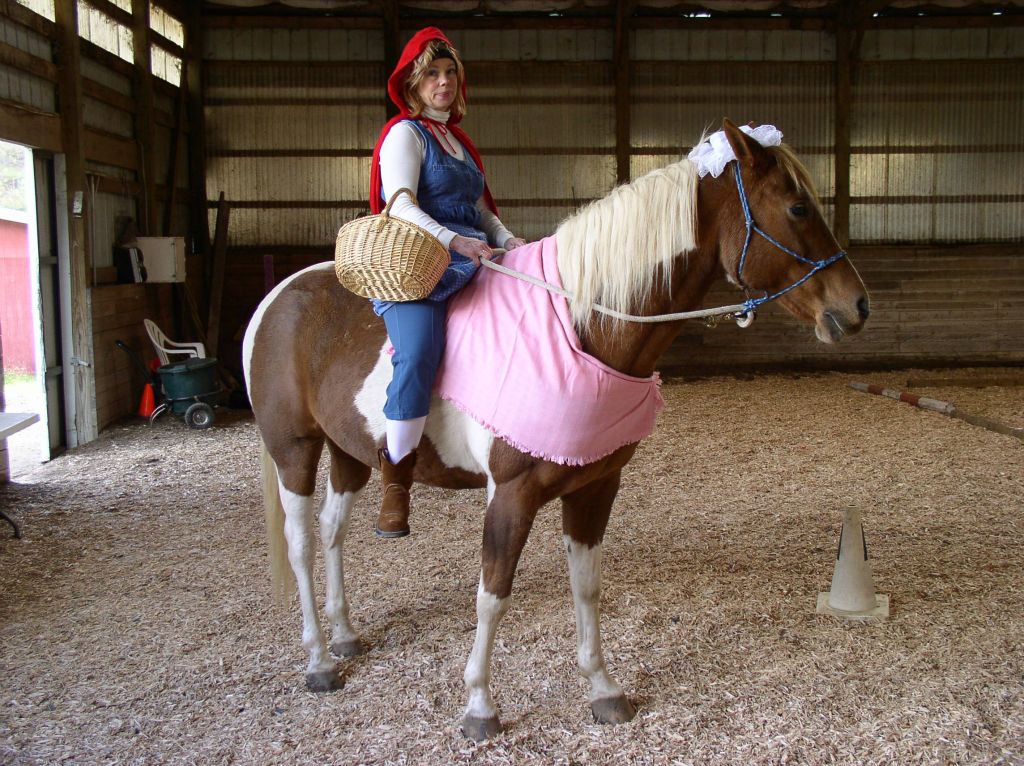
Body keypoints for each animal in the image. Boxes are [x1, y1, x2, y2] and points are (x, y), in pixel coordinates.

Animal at [241, 121, 872, 741]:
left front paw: (603, 691)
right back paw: (320, 660)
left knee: (332, 533)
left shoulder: (595, 488)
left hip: (349, 452)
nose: (858, 306)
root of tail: (278, 296)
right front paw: (479, 706)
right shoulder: (511, 494)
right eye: (797, 208)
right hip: (295, 451)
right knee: (301, 545)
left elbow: (586, 586)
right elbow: (493, 594)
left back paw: (345, 635)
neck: (582, 326)